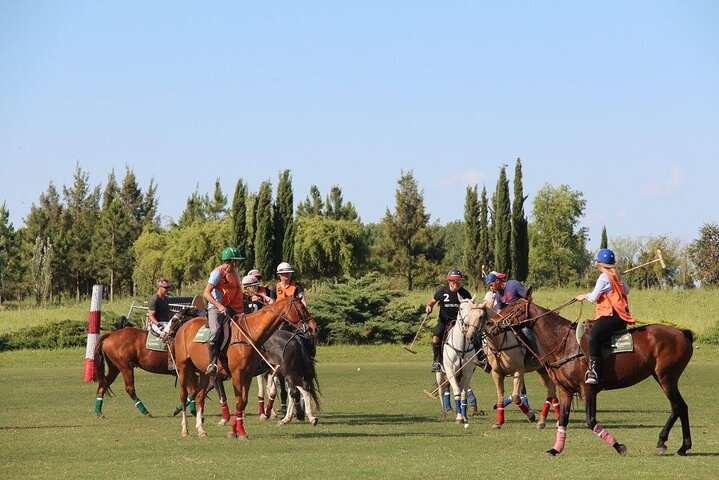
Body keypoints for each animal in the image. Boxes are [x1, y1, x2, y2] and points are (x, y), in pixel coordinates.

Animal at [93, 308, 228, 416]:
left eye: (174, 320)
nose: (164, 334)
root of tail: (111, 335)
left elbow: (196, 390)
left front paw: (192, 410)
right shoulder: (185, 370)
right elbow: (194, 390)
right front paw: (181, 410)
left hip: (115, 368)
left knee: (104, 384)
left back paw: (98, 412)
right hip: (125, 367)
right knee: (129, 388)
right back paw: (145, 412)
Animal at [173, 296, 316, 438]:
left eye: (174, 319)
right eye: (302, 308)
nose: (314, 327)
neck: (249, 335)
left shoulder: (245, 374)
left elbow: (242, 401)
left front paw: (236, 430)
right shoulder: (234, 374)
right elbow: (234, 400)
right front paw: (234, 428)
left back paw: (200, 429)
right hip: (183, 368)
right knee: (184, 395)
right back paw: (185, 429)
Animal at [438, 296, 484, 428]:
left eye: (473, 308)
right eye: (461, 308)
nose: (468, 324)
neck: (461, 346)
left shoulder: (467, 372)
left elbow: (463, 393)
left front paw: (464, 417)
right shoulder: (450, 371)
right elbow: (457, 391)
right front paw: (459, 418)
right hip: (440, 372)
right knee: (441, 389)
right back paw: (444, 413)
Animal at [496, 294, 692, 456]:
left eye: (513, 308)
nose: (492, 323)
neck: (563, 343)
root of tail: (683, 333)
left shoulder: (587, 389)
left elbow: (590, 421)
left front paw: (619, 447)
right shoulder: (565, 391)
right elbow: (563, 420)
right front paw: (555, 449)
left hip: (666, 377)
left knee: (677, 406)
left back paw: (663, 442)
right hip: (663, 377)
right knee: (682, 406)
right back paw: (683, 447)